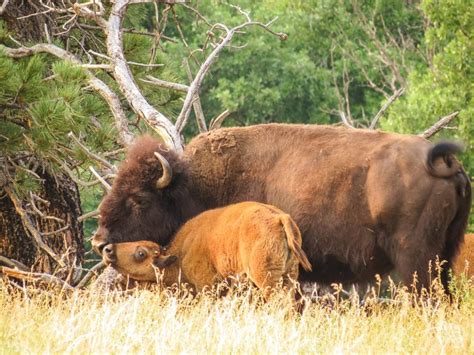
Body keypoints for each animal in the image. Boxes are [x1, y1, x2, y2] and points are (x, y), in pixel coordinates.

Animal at [102, 202, 312, 298]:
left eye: (141, 253)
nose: (108, 250)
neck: (180, 254)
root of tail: (279, 218)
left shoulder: (206, 285)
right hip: (289, 276)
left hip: (266, 278)